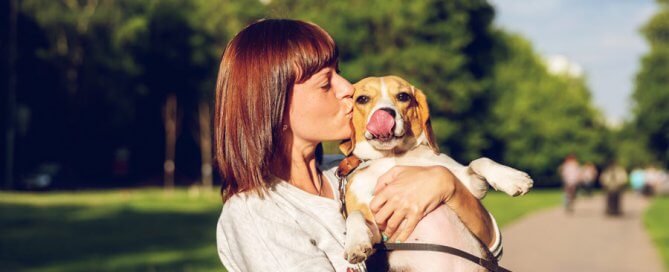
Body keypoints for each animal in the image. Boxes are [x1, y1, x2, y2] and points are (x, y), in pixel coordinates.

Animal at [340, 75, 532, 270]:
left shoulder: (471, 185)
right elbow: (355, 215)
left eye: (403, 96)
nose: (385, 113)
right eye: (362, 99)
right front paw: (355, 243)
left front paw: (512, 178)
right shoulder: (375, 229)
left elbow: (479, 161)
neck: (391, 156)